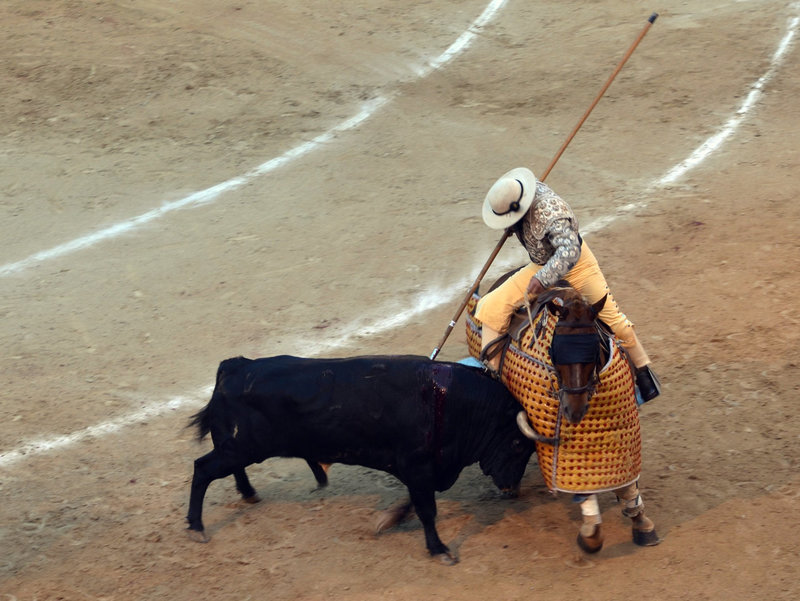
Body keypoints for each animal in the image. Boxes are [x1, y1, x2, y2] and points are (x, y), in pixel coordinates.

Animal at [187, 356, 536, 556]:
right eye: (518, 444)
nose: (511, 489)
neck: (448, 400)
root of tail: (235, 366)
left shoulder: (423, 470)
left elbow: (417, 502)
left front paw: (390, 519)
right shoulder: (417, 466)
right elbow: (427, 510)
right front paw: (438, 549)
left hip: (239, 448)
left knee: (230, 469)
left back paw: (249, 494)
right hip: (242, 446)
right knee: (203, 469)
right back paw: (197, 527)